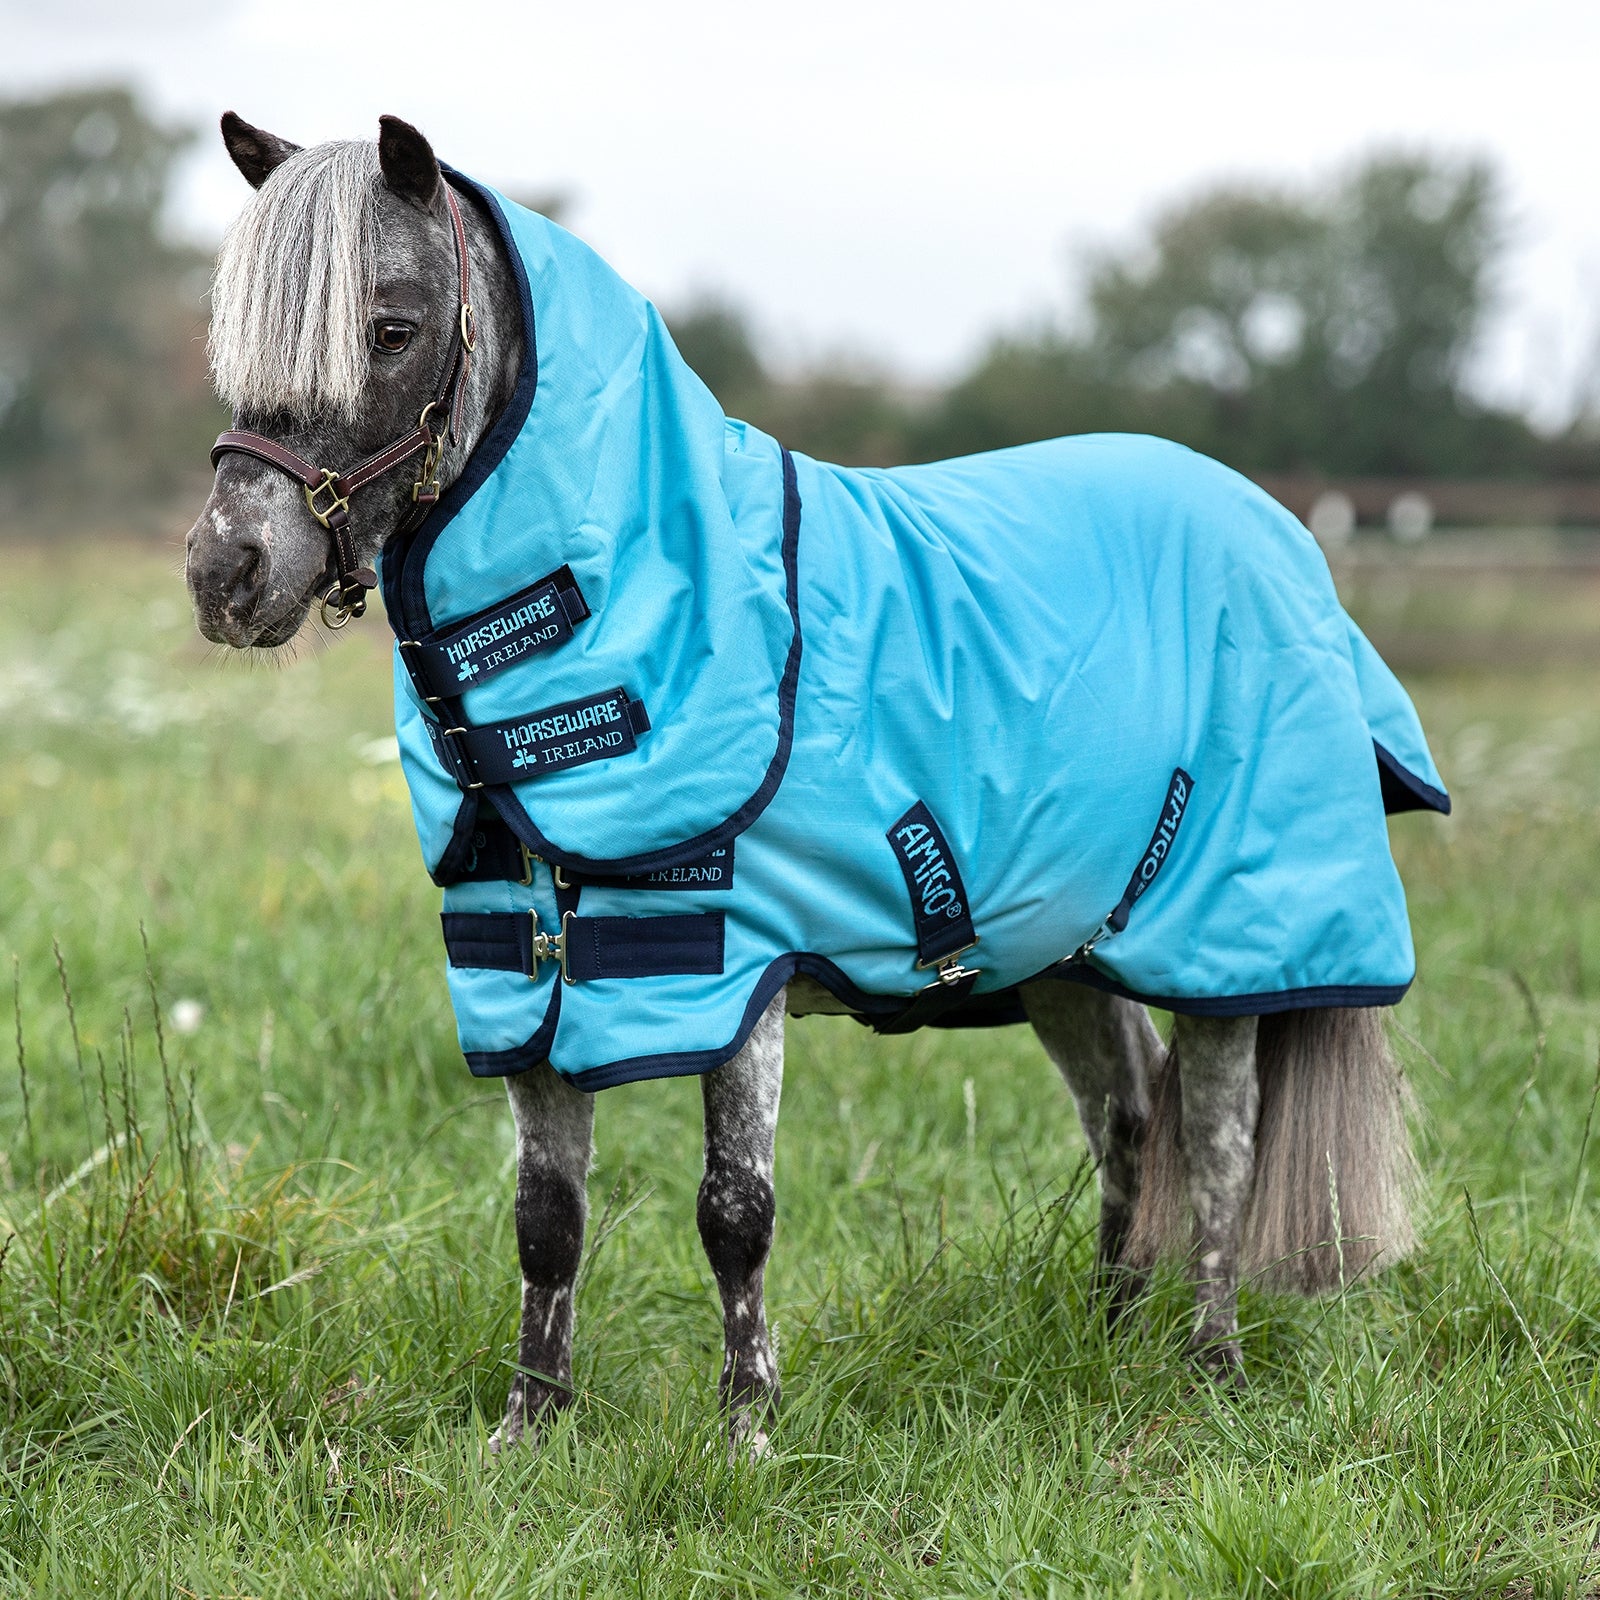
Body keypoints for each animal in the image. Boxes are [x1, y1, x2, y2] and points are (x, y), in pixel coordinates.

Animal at [185, 113, 1439, 1454]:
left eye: (393, 327)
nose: (226, 572)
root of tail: (1280, 535)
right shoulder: (525, 976)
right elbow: (545, 1217)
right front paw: (528, 1429)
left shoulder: (730, 969)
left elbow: (733, 1209)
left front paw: (747, 1428)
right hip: (1064, 952)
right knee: (1127, 1120)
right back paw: (1109, 1340)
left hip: (1229, 950)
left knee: (1213, 1144)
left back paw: (1209, 1368)